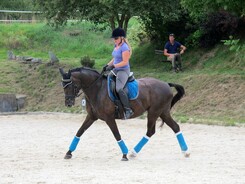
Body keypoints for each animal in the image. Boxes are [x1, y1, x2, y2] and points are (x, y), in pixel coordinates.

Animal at [58, 67, 189, 160]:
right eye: (63, 86)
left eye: (72, 85)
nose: (68, 103)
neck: (97, 89)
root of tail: (166, 84)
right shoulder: (91, 117)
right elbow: (79, 132)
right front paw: (69, 152)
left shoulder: (109, 118)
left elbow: (117, 135)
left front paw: (124, 155)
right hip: (163, 112)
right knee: (175, 127)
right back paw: (185, 152)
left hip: (154, 112)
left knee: (151, 131)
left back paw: (132, 152)